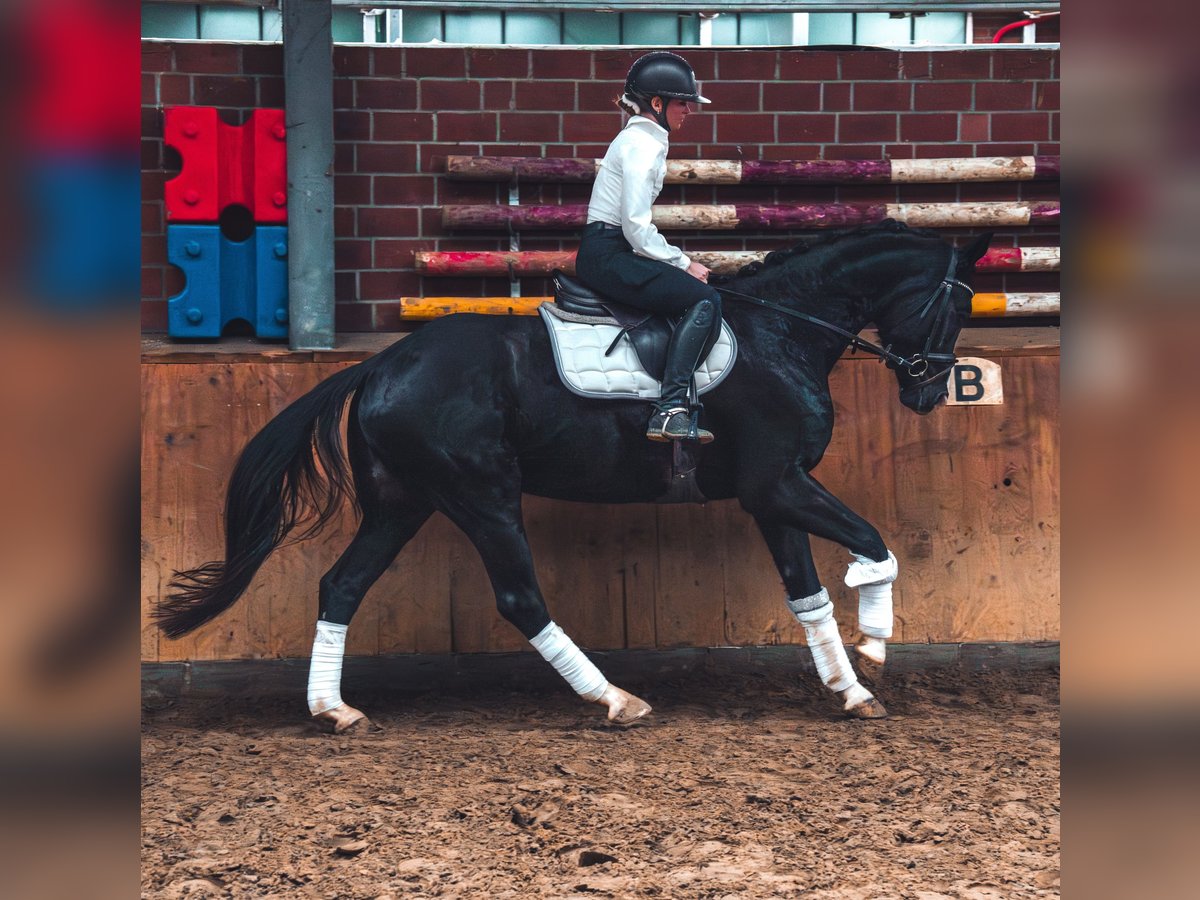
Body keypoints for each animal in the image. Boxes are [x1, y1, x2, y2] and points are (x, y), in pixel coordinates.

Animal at [154, 220, 988, 734]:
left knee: (342, 586)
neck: (782, 330)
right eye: (954, 306)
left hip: (403, 501)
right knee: (520, 598)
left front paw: (851, 688)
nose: (926, 391)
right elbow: (875, 547)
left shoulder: (772, 497)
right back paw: (616, 699)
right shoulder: (776, 485)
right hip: (482, 496)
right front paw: (875, 645)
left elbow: (808, 594)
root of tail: (382, 363)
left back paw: (335, 711)